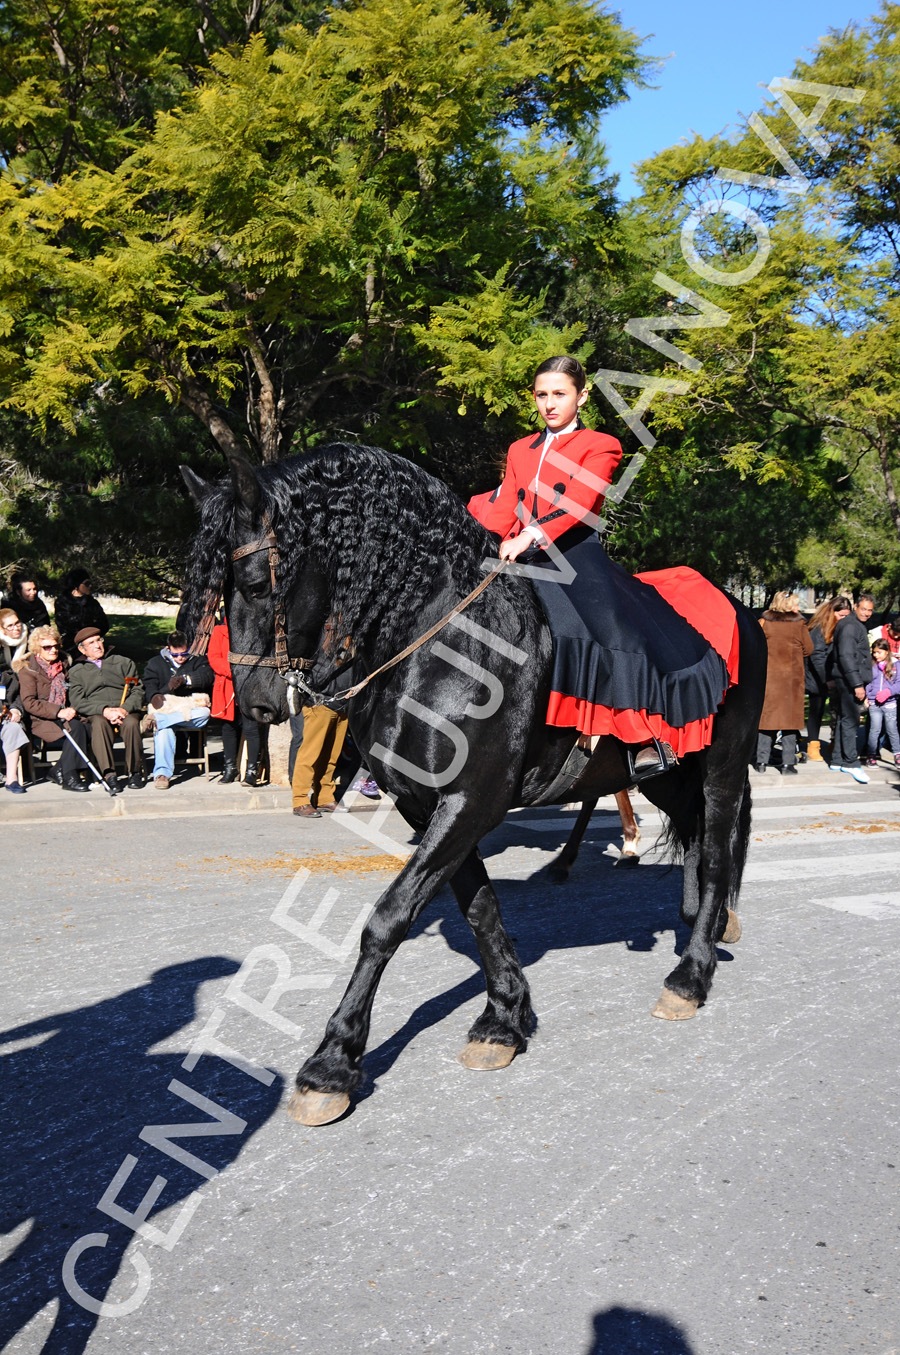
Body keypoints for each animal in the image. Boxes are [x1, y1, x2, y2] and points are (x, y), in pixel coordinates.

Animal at [182, 444, 764, 1121]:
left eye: (253, 584)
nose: (253, 704)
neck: (440, 638)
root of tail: (743, 610)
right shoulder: (427, 805)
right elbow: (480, 907)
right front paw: (504, 1018)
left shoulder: (470, 801)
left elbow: (388, 918)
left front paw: (331, 1063)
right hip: (661, 772)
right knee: (693, 833)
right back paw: (698, 925)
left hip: (723, 764)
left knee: (718, 849)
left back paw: (691, 975)